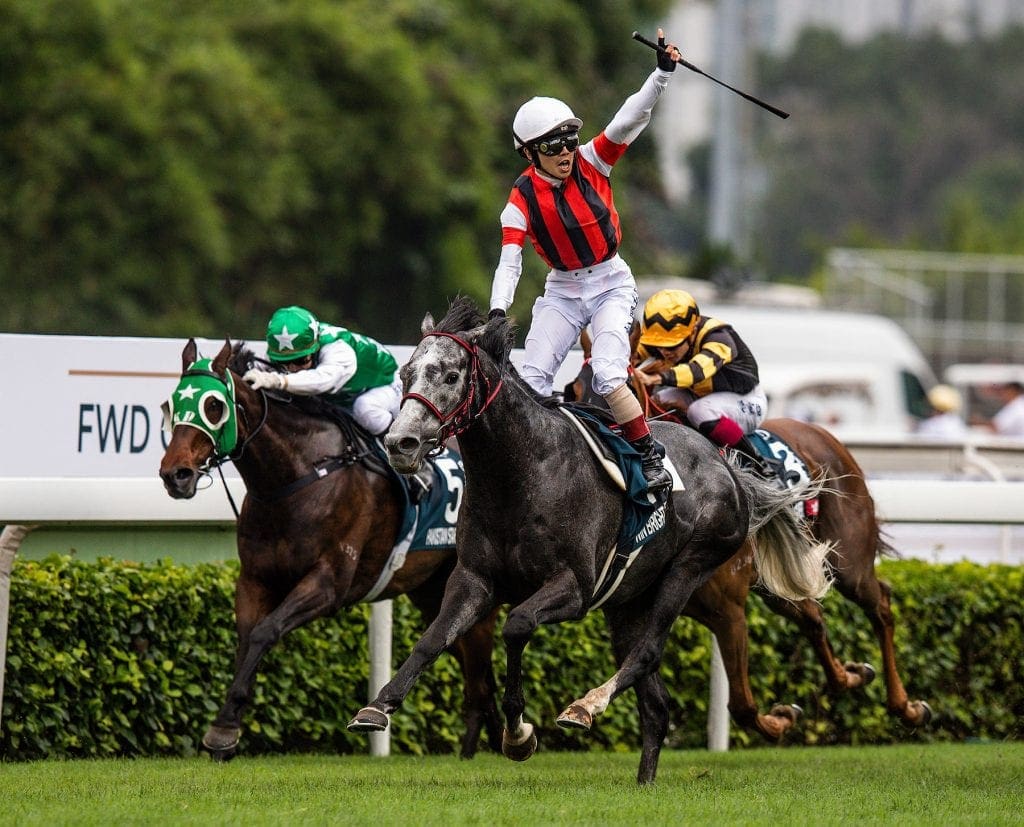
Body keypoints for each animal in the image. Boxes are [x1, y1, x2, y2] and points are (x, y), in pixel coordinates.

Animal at [158, 338, 502, 760]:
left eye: (213, 405)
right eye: (171, 404)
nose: (175, 474)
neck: (299, 476)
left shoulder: (328, 585)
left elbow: (264, 633)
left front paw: (223, 729)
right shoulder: (254, 579)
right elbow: (245, 639)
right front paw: (226, 727)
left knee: (479, 670)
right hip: (432, 593)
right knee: (474, 672)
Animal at [347, 296, 833, 784]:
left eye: (450, 375)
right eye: (407, 373)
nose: (401, 443)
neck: (521, 473)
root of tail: (728, 468)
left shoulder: (575, 587)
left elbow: (516, 625)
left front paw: (518, 734)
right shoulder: (473, 579)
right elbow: (432, 639)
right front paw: (377, 707)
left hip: (690, 568)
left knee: (647, 652)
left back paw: (585, 706)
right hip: (627, 600)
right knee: (655, 703)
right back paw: (643, 781)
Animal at [567, 335, 932, 740]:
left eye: (624, 388)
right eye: (574, 389)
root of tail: (823, 433)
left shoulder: (728, 610)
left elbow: (741, 705)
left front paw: (780, 719)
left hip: (848, 560)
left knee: (879, 603)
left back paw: (907, 707)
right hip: (777, 581)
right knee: (813, 616)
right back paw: (851, 675)